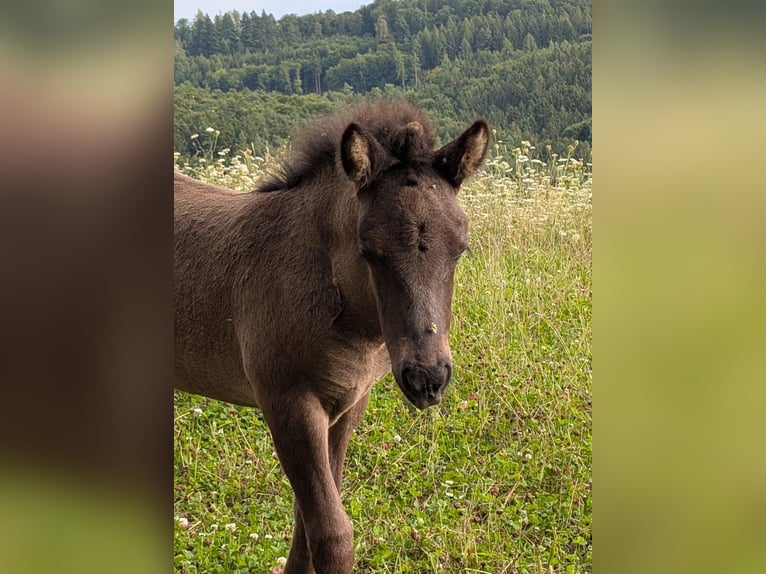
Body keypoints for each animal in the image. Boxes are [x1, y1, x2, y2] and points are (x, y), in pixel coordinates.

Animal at [174, 100, 489, 573]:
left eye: (461, 248)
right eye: (369, 251)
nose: (427, 378)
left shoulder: (347, 405)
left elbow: (308, 522)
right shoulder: (288, 403)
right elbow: (332, 532)